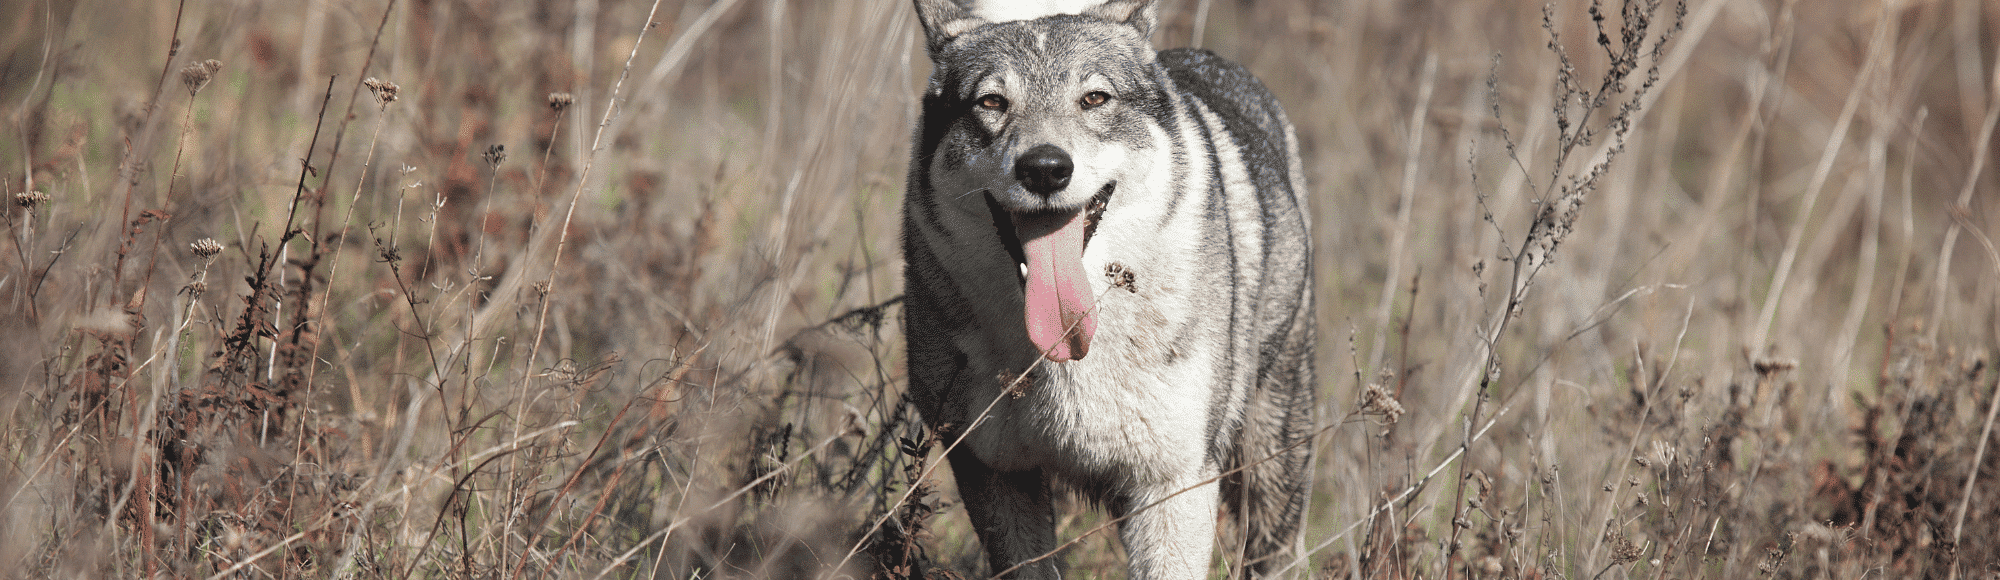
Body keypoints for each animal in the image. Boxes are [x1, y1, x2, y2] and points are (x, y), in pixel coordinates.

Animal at [904, 2, 1320, 576]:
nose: (1045, 168)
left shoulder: (1173, 481)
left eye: (1094, 98)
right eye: (992, 102)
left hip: (1272, 451)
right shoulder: (995, 472)